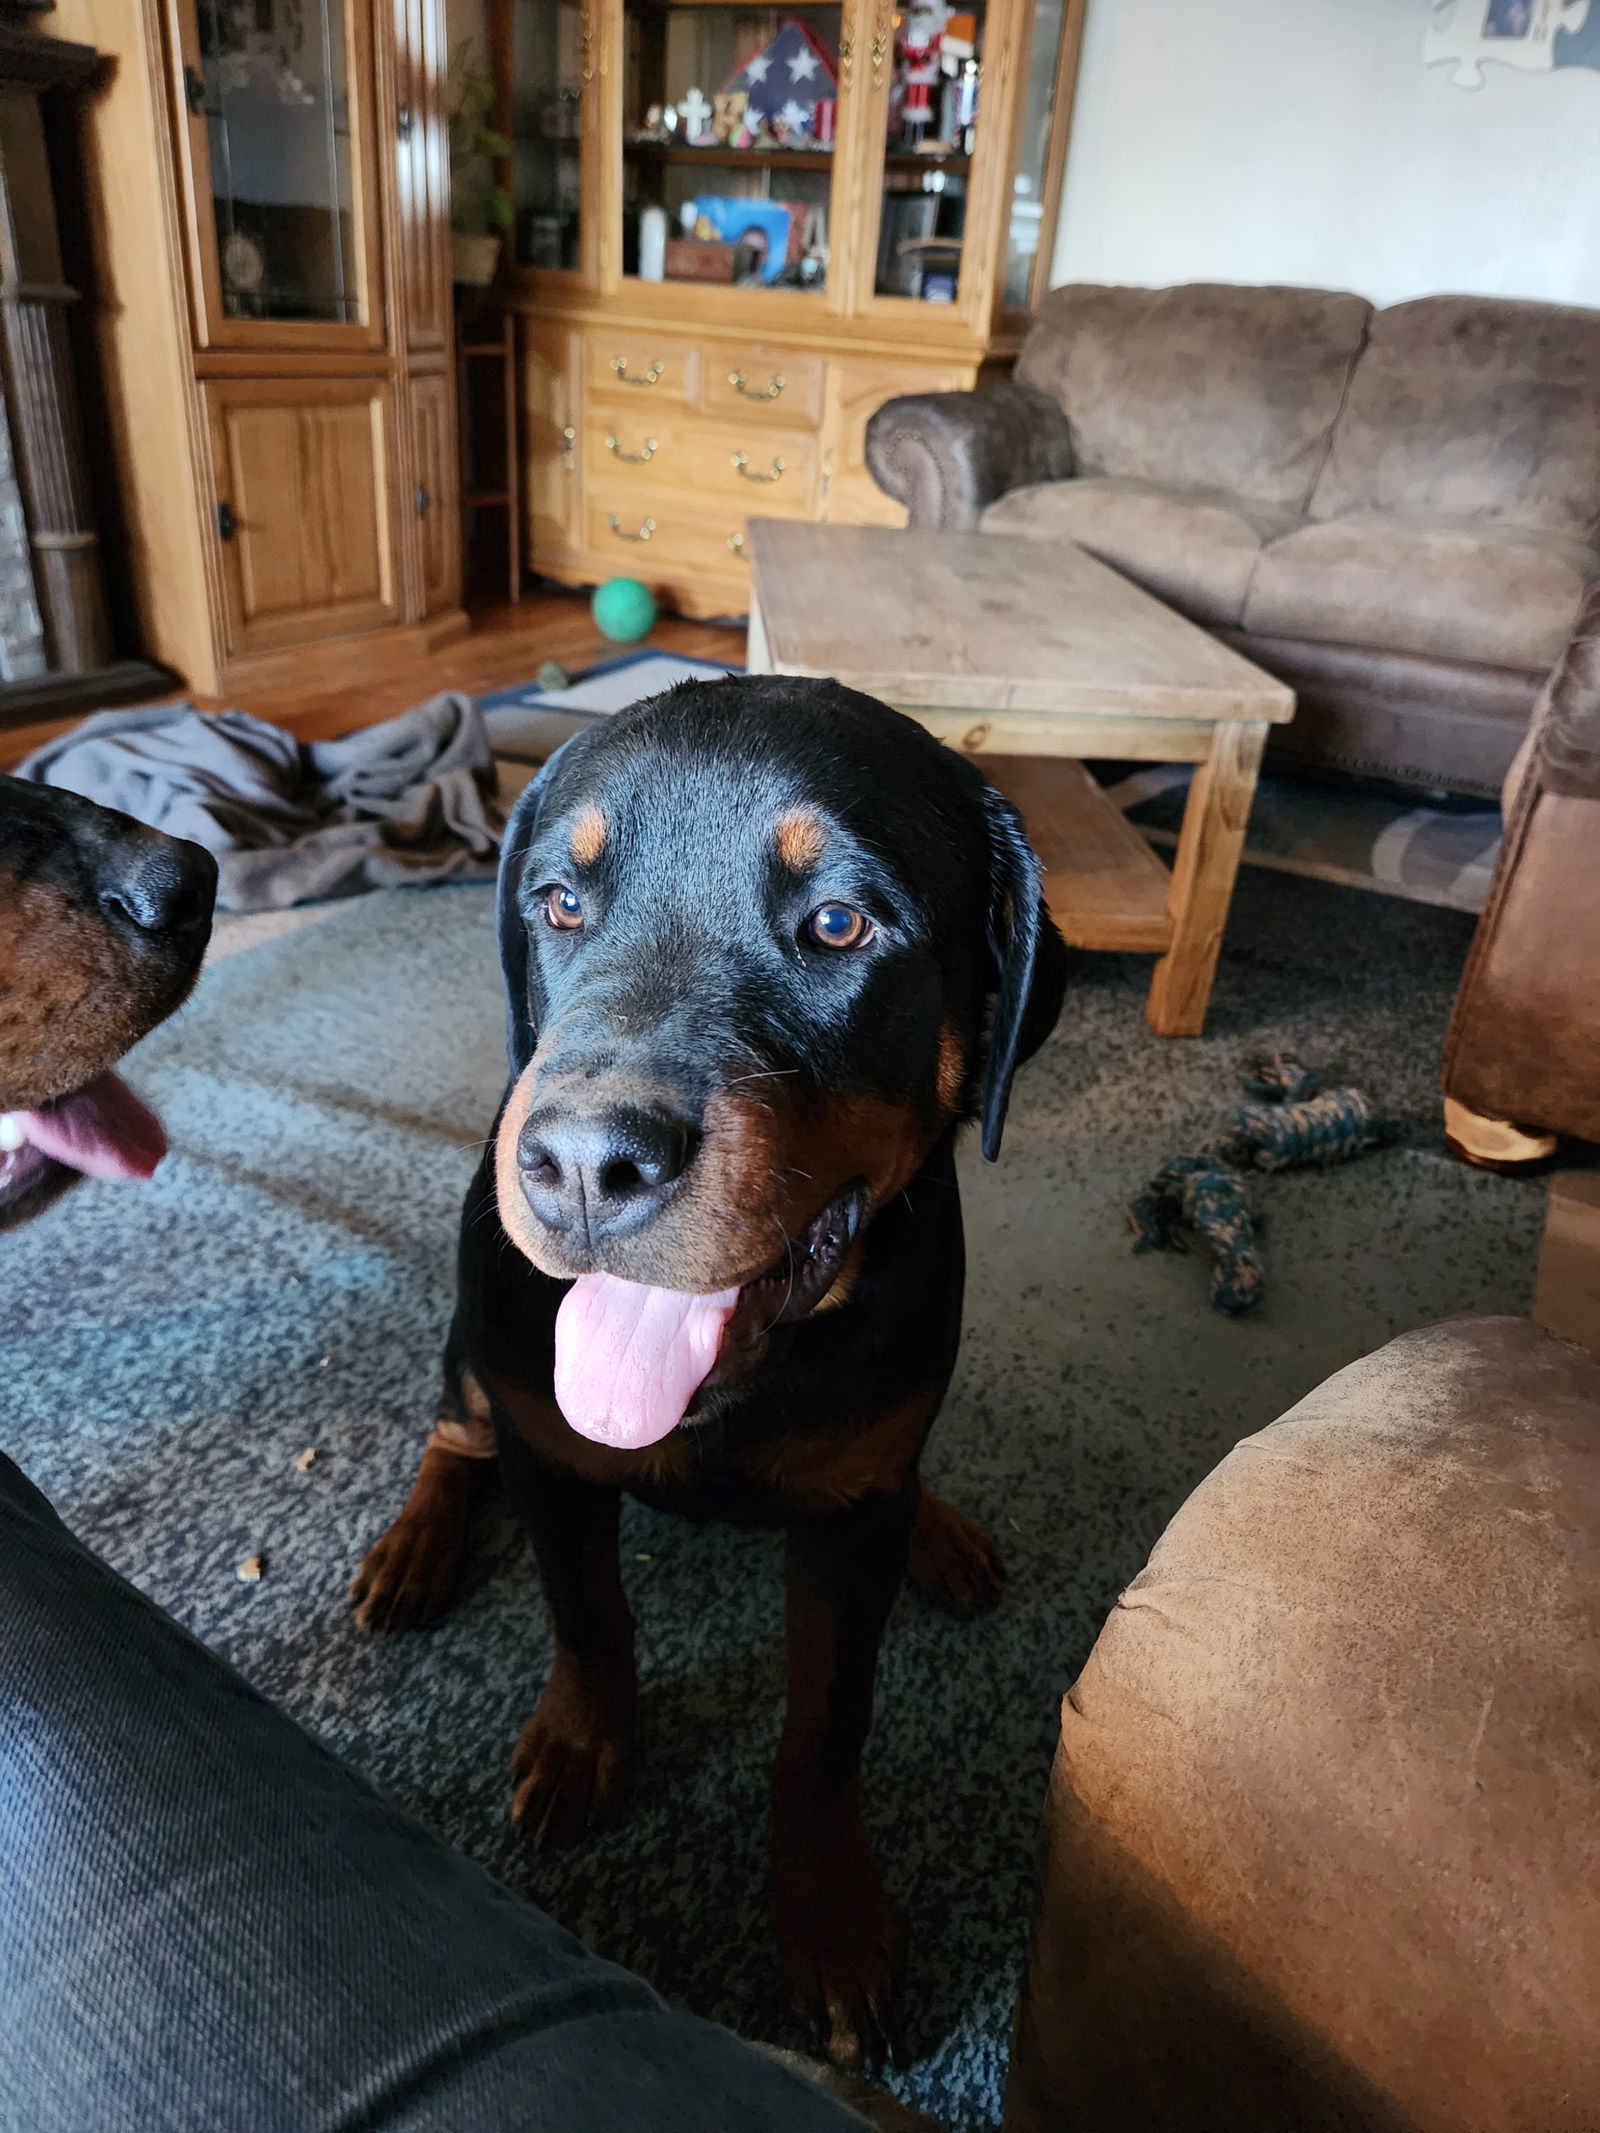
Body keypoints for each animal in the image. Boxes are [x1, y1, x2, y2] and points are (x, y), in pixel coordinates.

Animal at [356, 678, 1070, 2064]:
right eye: (558, 904)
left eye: (840, 923)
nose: (586, 1165)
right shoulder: (548, 1451)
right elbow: (588, 1615)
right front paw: (582, 1745)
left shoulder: (849, 1519)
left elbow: (826, 1727)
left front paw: (831, 1916)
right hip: (476, 1353)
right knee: (452, 1432)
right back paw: (413, 1547)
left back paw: (943, 1530)